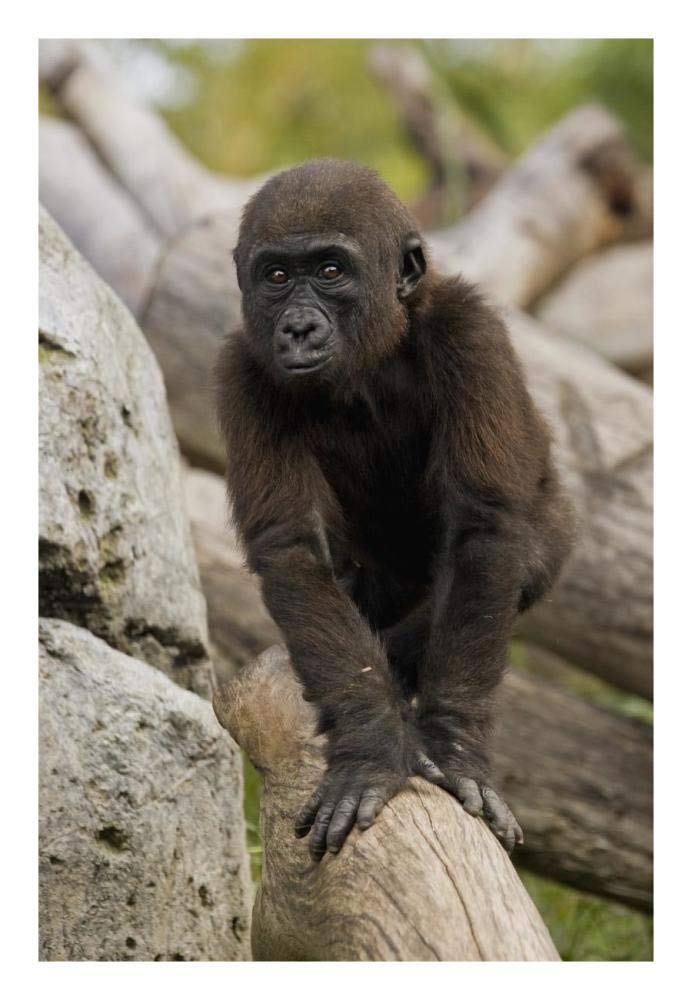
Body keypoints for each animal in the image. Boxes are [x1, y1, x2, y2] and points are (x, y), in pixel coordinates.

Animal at [216, 158, 574, 862]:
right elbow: (293, 548)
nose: (298, 327)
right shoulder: (241, 370)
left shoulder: (470, 331)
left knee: (524, 557)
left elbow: (486, 532)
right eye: (277, 277)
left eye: (331, 270)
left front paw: (454, 747)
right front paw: (371, 745)